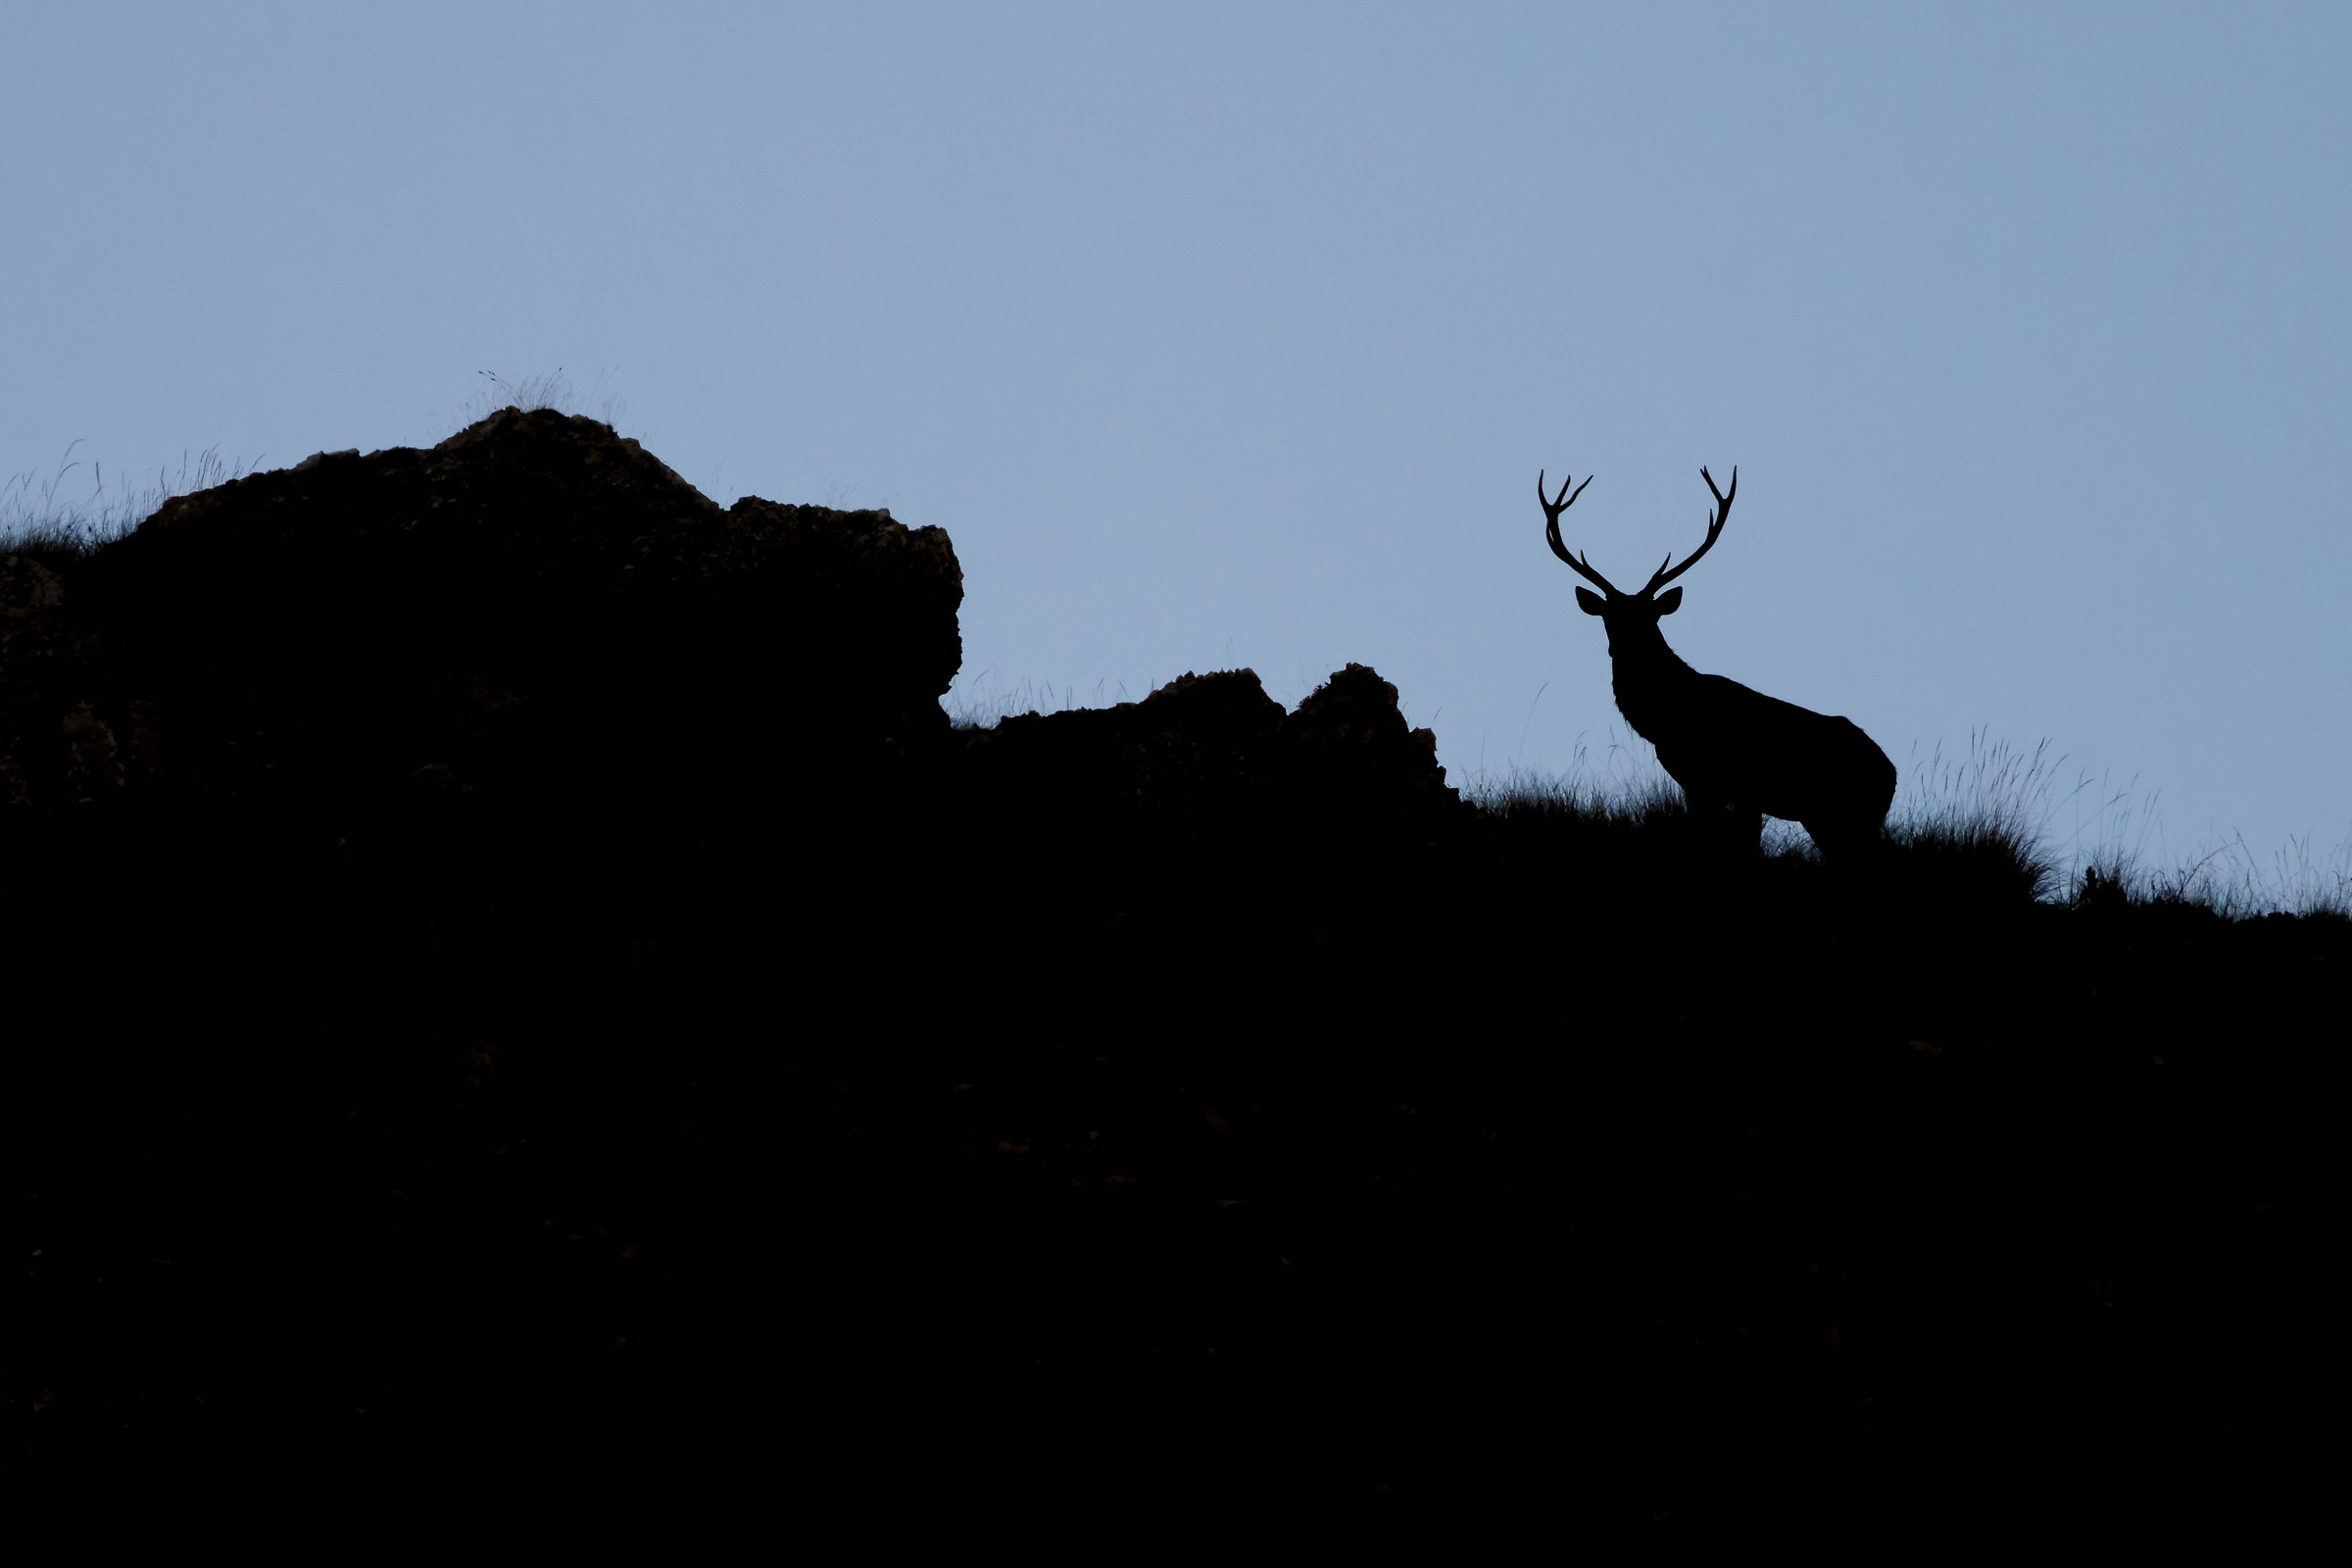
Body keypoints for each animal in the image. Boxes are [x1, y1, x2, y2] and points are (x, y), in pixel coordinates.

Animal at [1540, 465, 1896, 859]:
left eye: (1650, 617)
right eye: (1609, 617)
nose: (1622, 647)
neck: (1665, 721)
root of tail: (1890, 773)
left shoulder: (1738, 784)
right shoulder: (1698, 785)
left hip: (1847, 815)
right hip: (1829, 820)